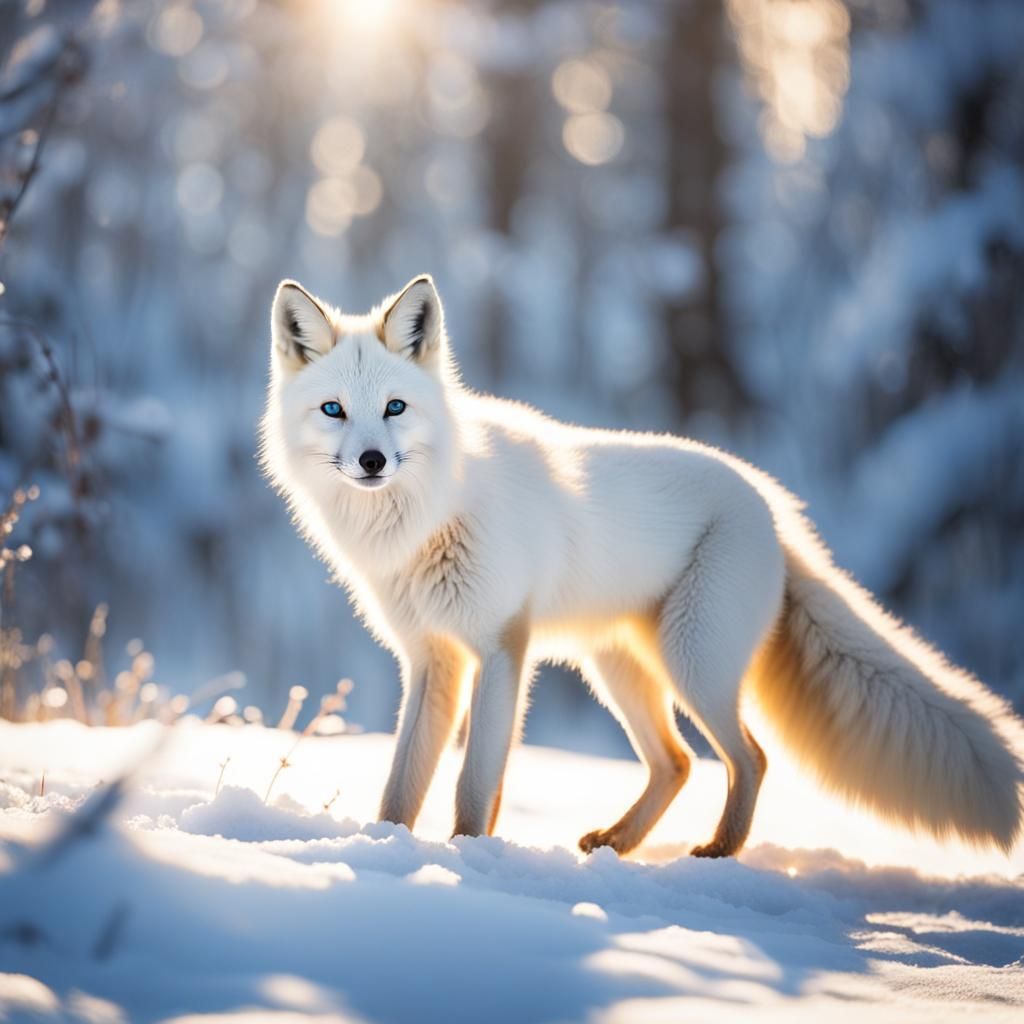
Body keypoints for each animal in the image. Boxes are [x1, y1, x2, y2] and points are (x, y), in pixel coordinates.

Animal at [260, 273, 1024, 858]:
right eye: (334, 410)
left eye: (395, 407)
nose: (371, 461)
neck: (430, 517)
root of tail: (776, 510)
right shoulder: (432, 660)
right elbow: (403, 782)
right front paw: (383, 847)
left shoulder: (503, 646)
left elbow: (475, 782)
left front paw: (469, 857)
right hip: (618, 670)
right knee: (677, 763)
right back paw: (618, 843)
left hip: (693, 664)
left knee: (749, 757)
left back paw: (718, 852)